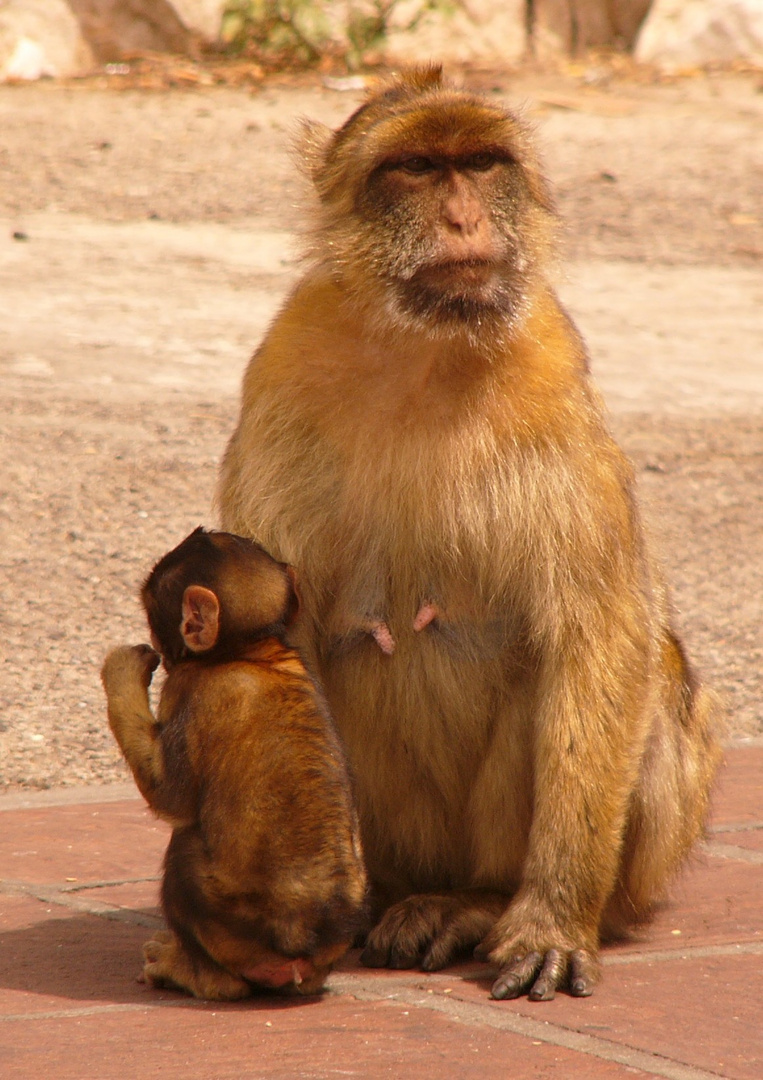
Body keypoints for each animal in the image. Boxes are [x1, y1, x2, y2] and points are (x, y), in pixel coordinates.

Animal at [100, 527, 365, 997]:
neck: (253, 651)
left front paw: (122, 669)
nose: (164, 648)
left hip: (231, 928)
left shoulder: (189, 690)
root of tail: (300, 940)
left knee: (184, 852)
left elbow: (170, 798)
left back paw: (194, 975)